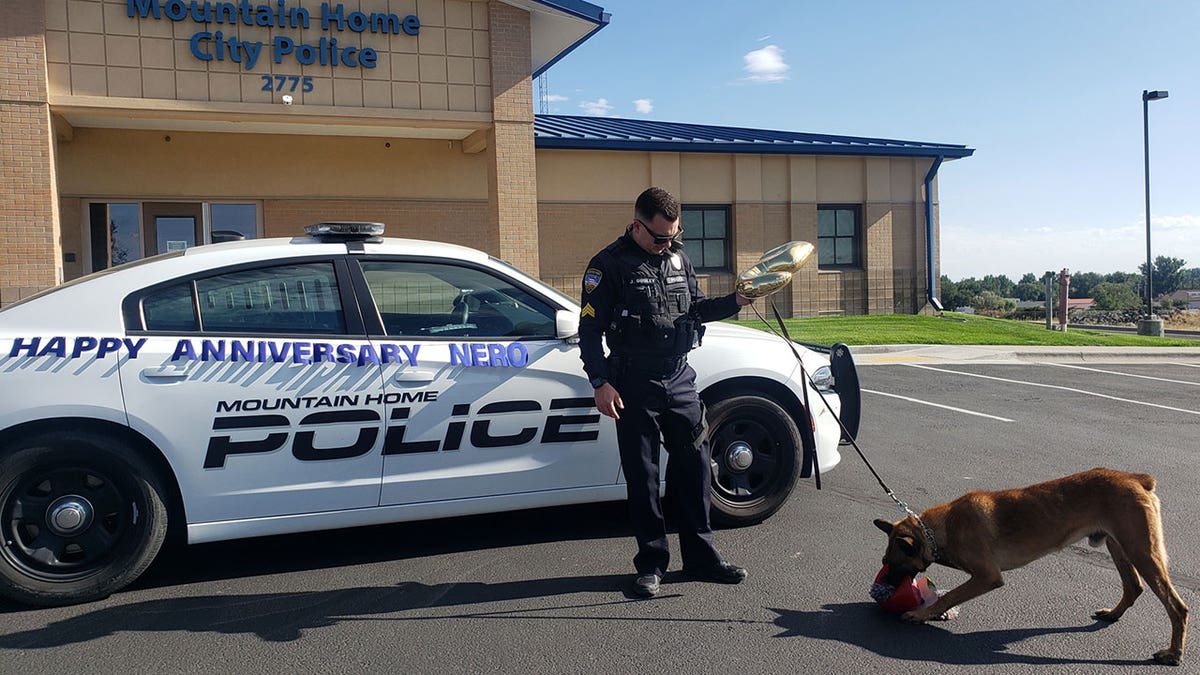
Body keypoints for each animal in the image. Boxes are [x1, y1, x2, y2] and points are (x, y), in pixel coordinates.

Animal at [873, 466, 1190, 662]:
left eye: (893, 565)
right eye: (884, 563)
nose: (880, 591)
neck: (941, 529)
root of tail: (1137, 478)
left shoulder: (987, 576)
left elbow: (949, 595)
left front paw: (921, 614)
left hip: (1141, 552)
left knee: (1177, 607)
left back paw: (1173, 654)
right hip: (1120, 547)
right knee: (1134, 587)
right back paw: (1113, 614)